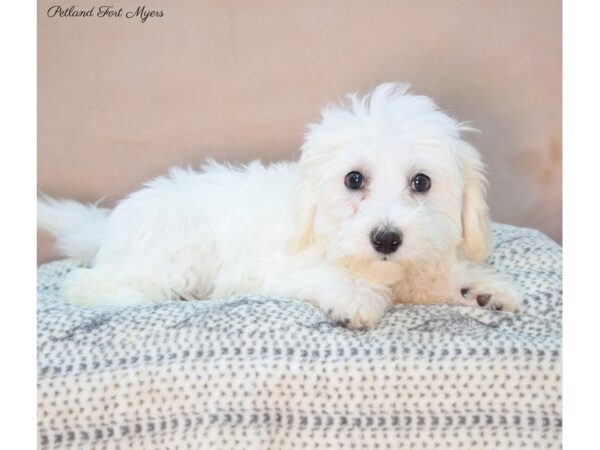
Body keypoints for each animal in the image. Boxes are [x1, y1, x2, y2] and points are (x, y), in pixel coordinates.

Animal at [39, 83, 524, 330]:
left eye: (421, 182)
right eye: (354, 179)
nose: (386, 238)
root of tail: (109, 225)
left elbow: (431, 276)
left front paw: (479, 288)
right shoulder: (281, 266)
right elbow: (330, 276)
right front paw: (355, 297)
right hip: (171, 256)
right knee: (89, 284)